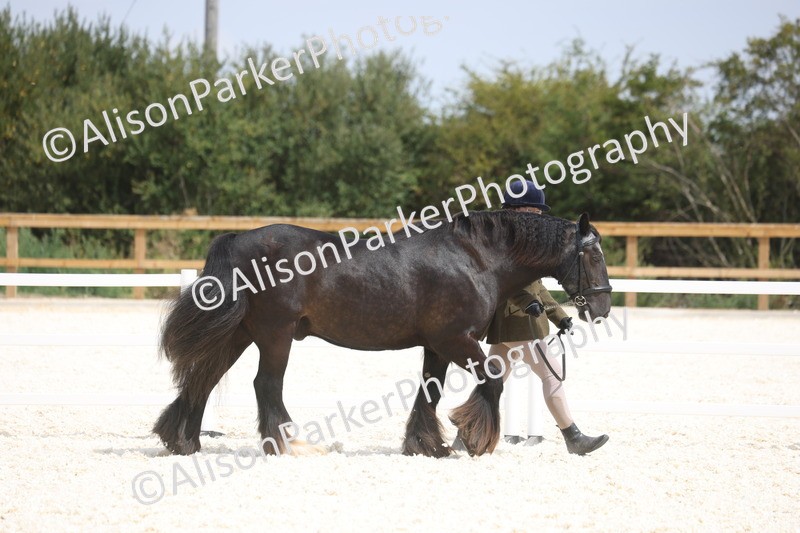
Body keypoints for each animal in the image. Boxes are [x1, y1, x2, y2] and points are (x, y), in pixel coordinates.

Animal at [153, 210, 612, 457]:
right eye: (592, 255)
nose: (603, 308)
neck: (474, 258)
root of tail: (239, 239)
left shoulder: (437, 347)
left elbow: (429, 393)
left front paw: (427, 444)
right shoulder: (455, 340)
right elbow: (493, 380)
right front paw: (473, 437)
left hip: (241, 334)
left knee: (204, 377)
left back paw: (183, 441)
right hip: (274, 336)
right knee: (265, 385)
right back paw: (291, 446)